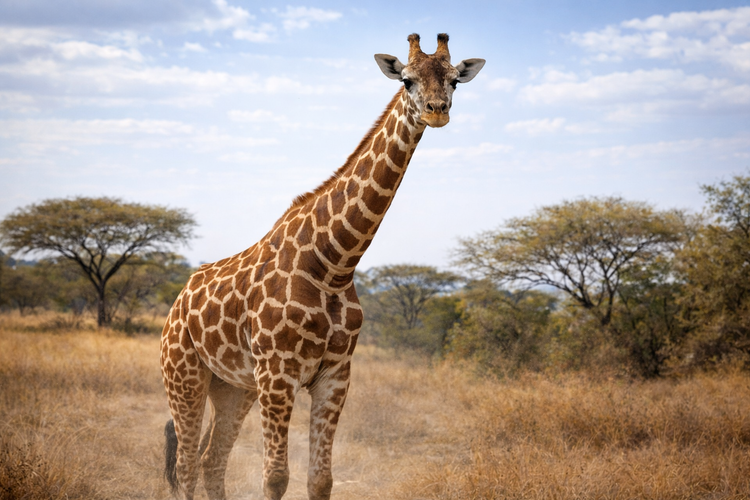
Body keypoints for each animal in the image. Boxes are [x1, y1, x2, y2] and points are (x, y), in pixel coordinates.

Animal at [160, 33, 485, 500]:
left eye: (455, 80)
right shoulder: (278, 374)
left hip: (234, 386)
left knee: (210, 460)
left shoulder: (335, 375)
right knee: (186, 465)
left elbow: (321, 479)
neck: (334, 263)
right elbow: (275, 477)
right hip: (184, 374)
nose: (436, 110)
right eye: (406, 80)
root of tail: (177, 303)